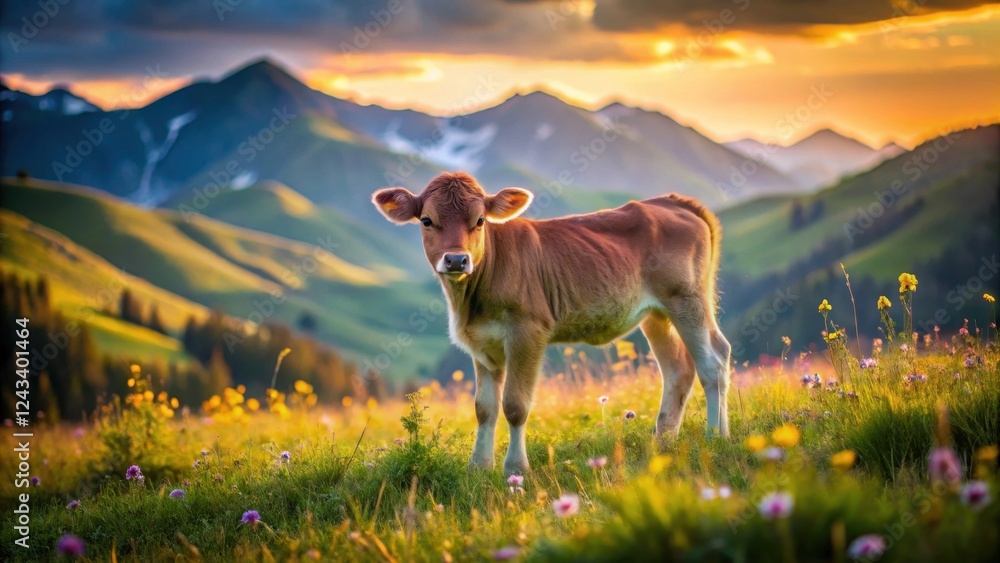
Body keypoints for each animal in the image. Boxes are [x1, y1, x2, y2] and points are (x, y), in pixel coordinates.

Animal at [372, 172, 731, 475]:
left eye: (480, 221)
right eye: (427, 220)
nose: (457, 260)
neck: (470, 303)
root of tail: (671, 200)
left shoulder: (527, 333)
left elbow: (515, 405)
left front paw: (515, 469)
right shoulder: (481, 343)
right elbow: (484, 408)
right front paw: (479, 468)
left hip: (686, 298)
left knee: (713, 361)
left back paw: (717, 435)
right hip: (656, 314)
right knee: (678, 368)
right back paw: (664, 440)